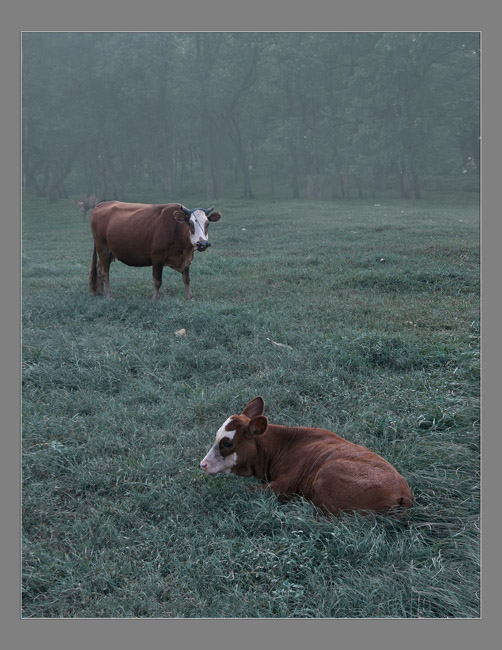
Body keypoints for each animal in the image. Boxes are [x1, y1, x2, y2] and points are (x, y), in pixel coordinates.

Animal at [88, 200, 222, 298]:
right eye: (190, 223)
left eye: (207, 224)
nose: (202, 243)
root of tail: (102, 204)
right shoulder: (157, 258)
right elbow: (157, 281)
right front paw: (154, 299)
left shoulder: (186, 259)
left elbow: (187, 279)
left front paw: (189, 297)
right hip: (103, 248)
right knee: (105, 272)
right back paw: (109, 296)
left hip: (109, 251)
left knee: (99, 269)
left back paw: (100, 293)